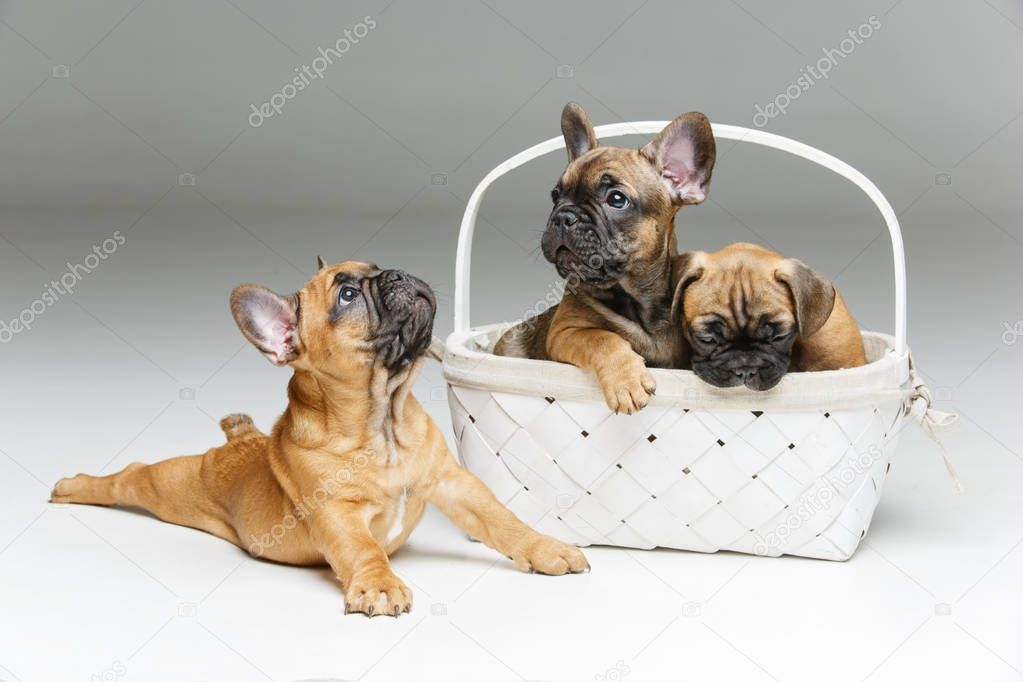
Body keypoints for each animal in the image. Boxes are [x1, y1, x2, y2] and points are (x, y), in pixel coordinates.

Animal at [51, 258, 589, 617]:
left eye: (378, 267)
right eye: (346, 296)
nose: (397, 273)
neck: (382, 421)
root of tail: (237, 441)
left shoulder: (454, 483)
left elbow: (503, 520)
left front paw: (547, 548)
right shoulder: (336, 511)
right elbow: (364, 549)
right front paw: (378, 583)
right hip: (175, 486)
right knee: (131, 477)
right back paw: (74, 486)